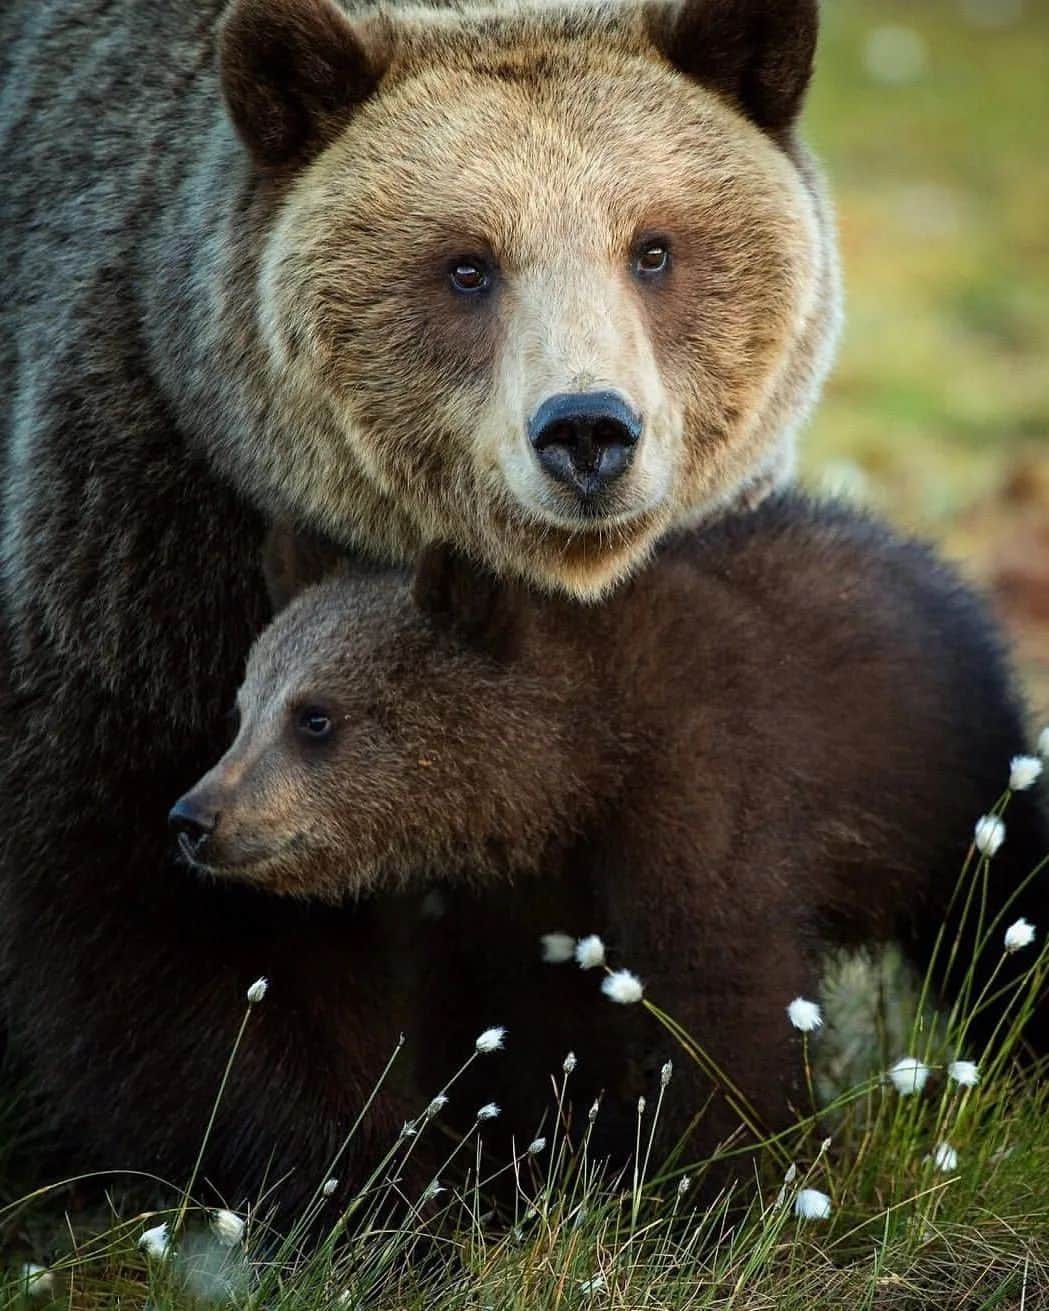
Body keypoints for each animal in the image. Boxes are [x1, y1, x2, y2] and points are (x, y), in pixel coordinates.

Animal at [0, 0, 833, 1206]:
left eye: (653, 248)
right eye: (466, 265)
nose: (587, 431)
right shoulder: (146, 549)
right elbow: (168, 916)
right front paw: (383, 1179)